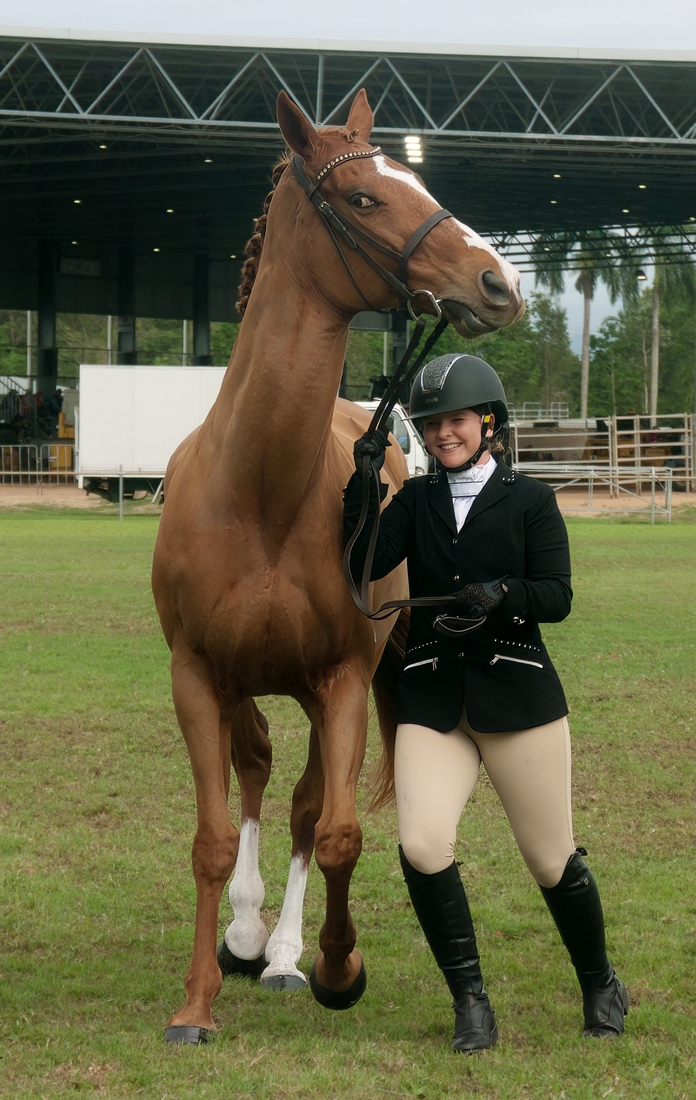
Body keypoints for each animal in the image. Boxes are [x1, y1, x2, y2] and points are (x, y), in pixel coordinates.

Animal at [151, 87, 524, 1043]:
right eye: (363, 198)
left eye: (416, 180)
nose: (497, 282)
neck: (259, 491)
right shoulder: (196, 675)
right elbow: (212, 836)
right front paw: (195, 999)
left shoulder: (343, 680)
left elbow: (335, 830)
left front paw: (334, 966)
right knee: (254, 768)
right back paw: (247, 936)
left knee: (302, 798)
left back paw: (281, 952)